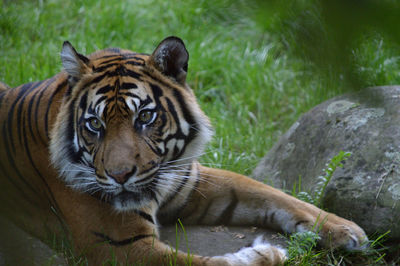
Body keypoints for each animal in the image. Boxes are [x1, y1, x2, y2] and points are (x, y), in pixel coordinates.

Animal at [0, 36, 368, 264]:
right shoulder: (122, 247)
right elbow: (209, 265)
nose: (120, 176)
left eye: (144, 116)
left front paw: (345, 229)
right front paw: (268, 254)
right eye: (94, 124)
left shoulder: (192, 183)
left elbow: (270, 193)